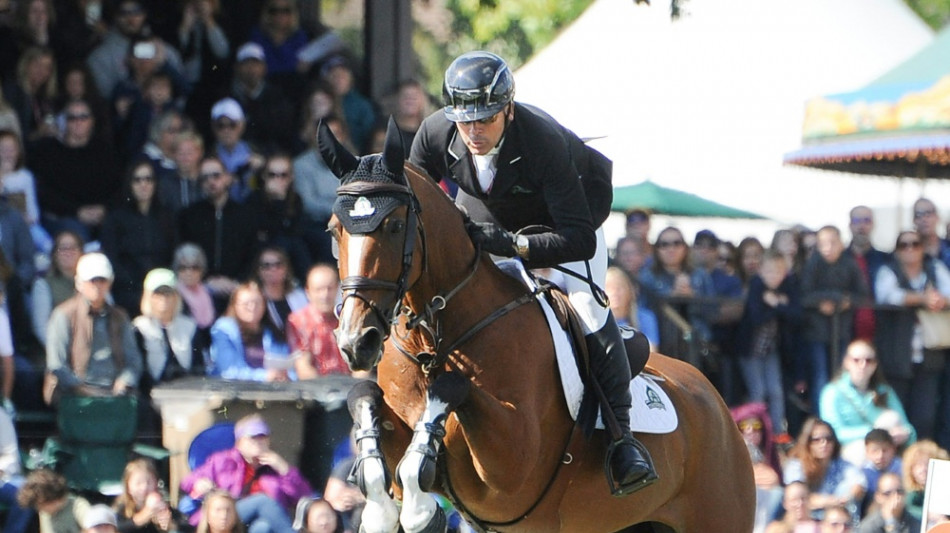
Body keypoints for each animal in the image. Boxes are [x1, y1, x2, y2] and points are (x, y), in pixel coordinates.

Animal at [320, 119, 760, 532]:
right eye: (333, 230)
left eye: (395, 226)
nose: (356, 342)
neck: (437, 341)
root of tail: (717, 403)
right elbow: (364, 398)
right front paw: (382, 512)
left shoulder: (510, 466)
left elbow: (450, 392)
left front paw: (420, 513)